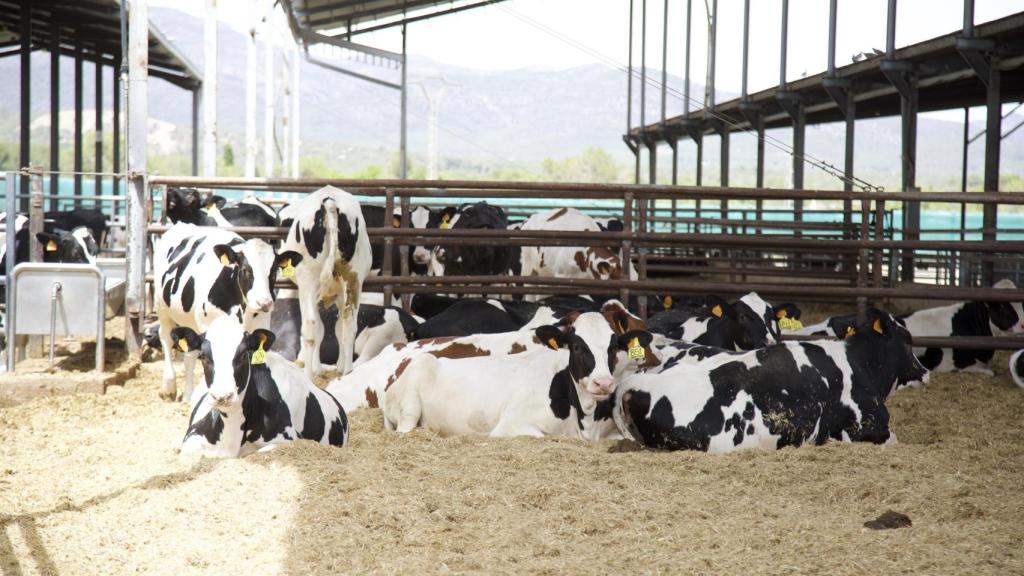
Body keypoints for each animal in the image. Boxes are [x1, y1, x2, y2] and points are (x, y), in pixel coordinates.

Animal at [154, 222, 298, 402]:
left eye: (273, 271)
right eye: (246, 269)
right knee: (166, 338)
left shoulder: (260, 325)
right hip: (162, 308)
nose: (264, 303)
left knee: (189, 357)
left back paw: (188, 394)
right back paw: (169, 387)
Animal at [277, 185, 372, 378]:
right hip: (354, 279)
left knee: (310, 326)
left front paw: (315, 368)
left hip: (308, 281)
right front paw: (338, 366)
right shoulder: (340, 293)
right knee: (349, 326)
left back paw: (307, 375)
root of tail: (329, 199)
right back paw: (347, 372)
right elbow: (336, 328)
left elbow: (320, 329)